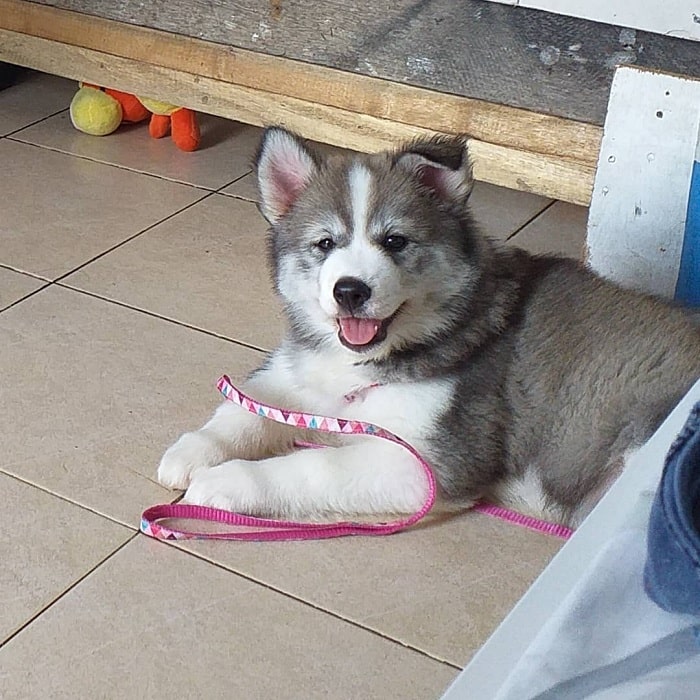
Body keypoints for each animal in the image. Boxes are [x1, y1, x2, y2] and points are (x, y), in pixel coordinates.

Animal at [159, 129, 700, 528]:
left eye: (395, 241)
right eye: (325, 243)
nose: (350, 291)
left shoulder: (429, 467)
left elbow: (312, 466)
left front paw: (225, 483)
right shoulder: (299, 373)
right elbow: (247, 404)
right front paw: (194, 450)